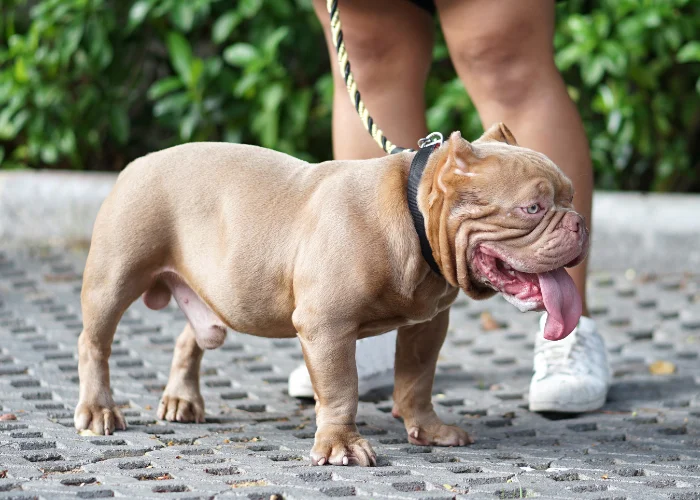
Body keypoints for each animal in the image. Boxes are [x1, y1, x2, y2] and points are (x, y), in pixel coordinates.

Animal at [74, 123, 588, 466]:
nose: (579, 224)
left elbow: (417, 379)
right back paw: (99, 410)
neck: (412, 214)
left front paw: (427, 429)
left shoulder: (426, 325)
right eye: (533, 208)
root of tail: (139, 162)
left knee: (193, 336)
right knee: (94, 343)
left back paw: (182, 400)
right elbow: (342, 389)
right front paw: (342, 444)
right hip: (114, 277)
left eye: (571, 196)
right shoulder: (327, 327)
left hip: (212, 296)